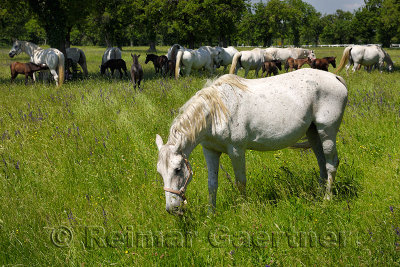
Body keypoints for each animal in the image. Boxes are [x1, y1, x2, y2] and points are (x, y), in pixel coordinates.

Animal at [155, 69, 346, 216]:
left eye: (177, 169)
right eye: (160, 172)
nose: (172, 209)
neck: (216, 112)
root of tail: (336, 78)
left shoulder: (237, 150)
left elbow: (240, 182)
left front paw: (244, 210)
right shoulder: (210, 151)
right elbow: (212, 184)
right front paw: (211, 214)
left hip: (327, 132)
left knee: (331, 164)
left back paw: (326, 200)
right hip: (313, 133)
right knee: (322, 163)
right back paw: (319, 195)